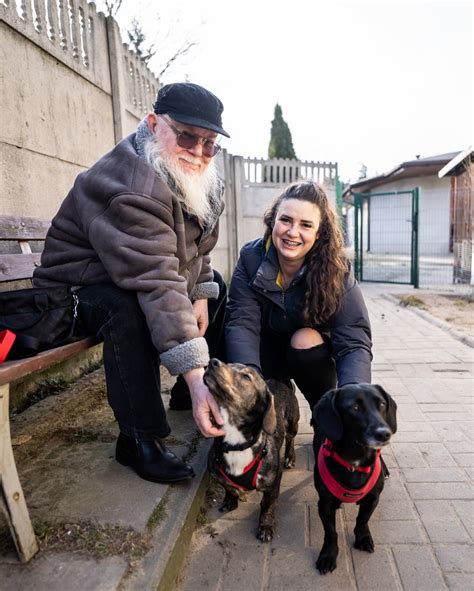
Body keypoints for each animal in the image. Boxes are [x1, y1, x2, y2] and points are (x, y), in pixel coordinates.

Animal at [204, 358, 300, 544]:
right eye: (229, 363)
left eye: (246, 377)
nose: (212, 361)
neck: (236, 444)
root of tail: (279, 380)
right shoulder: (216, 472)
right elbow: (229, 487)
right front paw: (231, 500)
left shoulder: (273, 483)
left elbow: (268, 505)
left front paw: (266, 526)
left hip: (293, 423)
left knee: (290, 438)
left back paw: (290, 457)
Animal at [312, 384, 396, 572]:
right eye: (355, 408)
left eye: (381, 404)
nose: (384, 434)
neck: (355, 461)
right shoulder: (325, 505)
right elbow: (331, 532)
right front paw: (328, 555)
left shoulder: (372, 499)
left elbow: (362, 520)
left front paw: (363, 538)